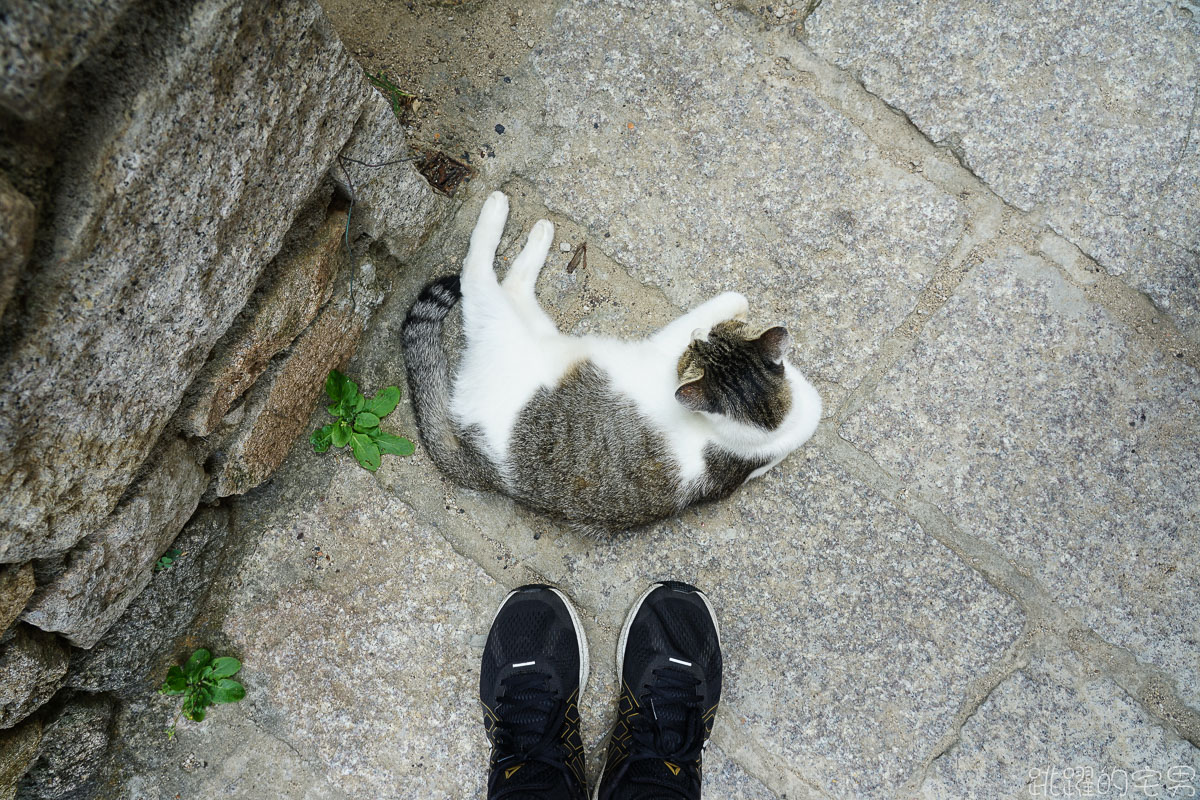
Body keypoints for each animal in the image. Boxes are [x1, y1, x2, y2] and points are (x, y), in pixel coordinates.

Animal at [405, 190, 825, 534]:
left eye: (695, 352)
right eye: (716, 336)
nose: (698, 337)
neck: (763, 425)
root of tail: (484, 467)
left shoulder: (666, 351)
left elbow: (720, 305)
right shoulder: (809, 407)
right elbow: (733, 298)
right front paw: (734, 307)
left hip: (504, 328)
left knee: (480, 277)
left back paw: (502, 213)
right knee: (503, 284)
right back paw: (535, 230)